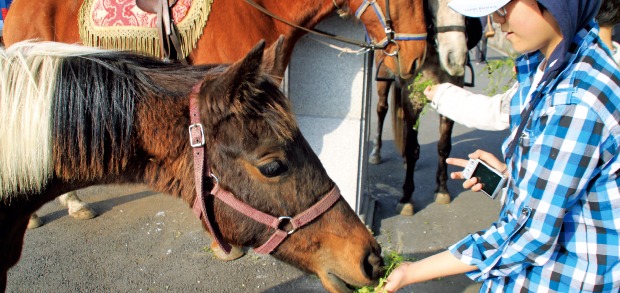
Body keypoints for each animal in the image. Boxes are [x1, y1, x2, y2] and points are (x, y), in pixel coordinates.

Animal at [368, 0, 474, 214]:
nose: (455, 59)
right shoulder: (412, 99)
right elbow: (412, 149)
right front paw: (406, 198)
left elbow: (444, 147)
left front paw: (442, 189)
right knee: (382, 109)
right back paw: (376, 153)